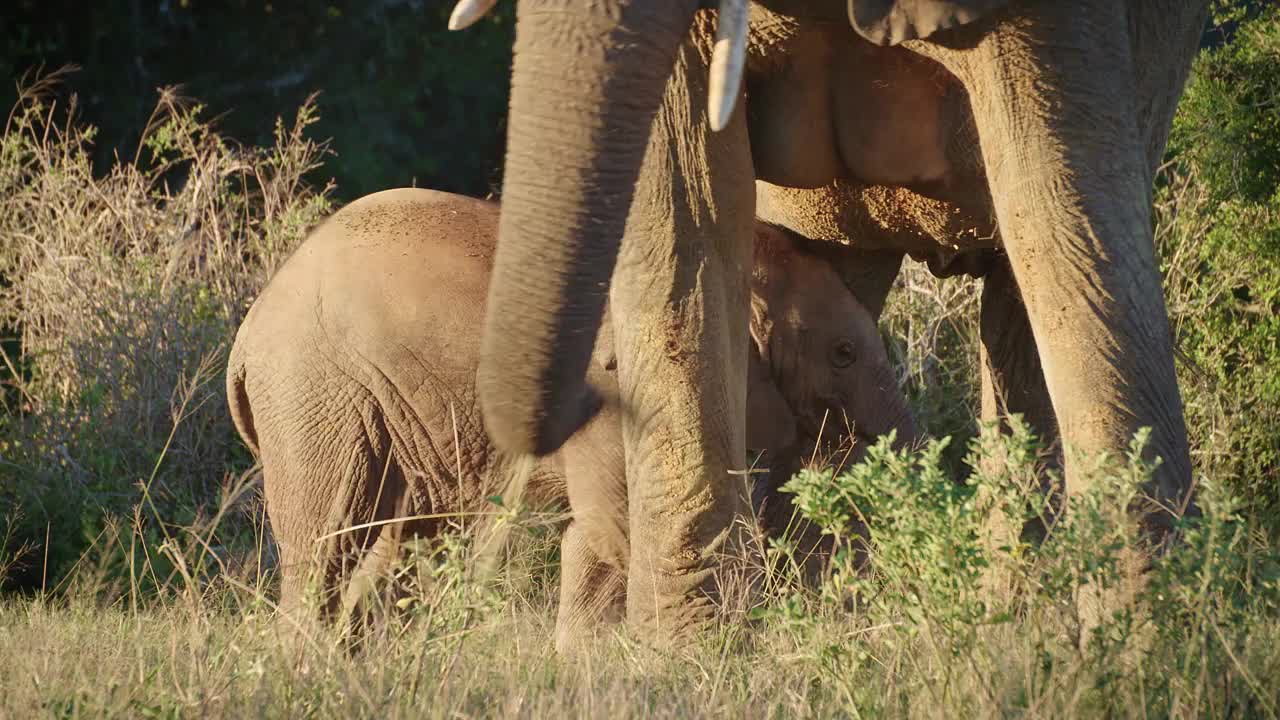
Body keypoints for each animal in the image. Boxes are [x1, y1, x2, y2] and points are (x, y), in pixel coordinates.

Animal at [227, 184, 911, 645]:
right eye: (844, 354)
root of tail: (246, 335)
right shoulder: (613, 391)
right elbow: (617, 527)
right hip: (318, 388)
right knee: (327, 542)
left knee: (386, 543)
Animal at [458, 1, 1208, 638]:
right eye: (843, 356)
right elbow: (686, 209)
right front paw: (684, 657)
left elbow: (1061, 216)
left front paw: (1149, 653)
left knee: (1015, 301)